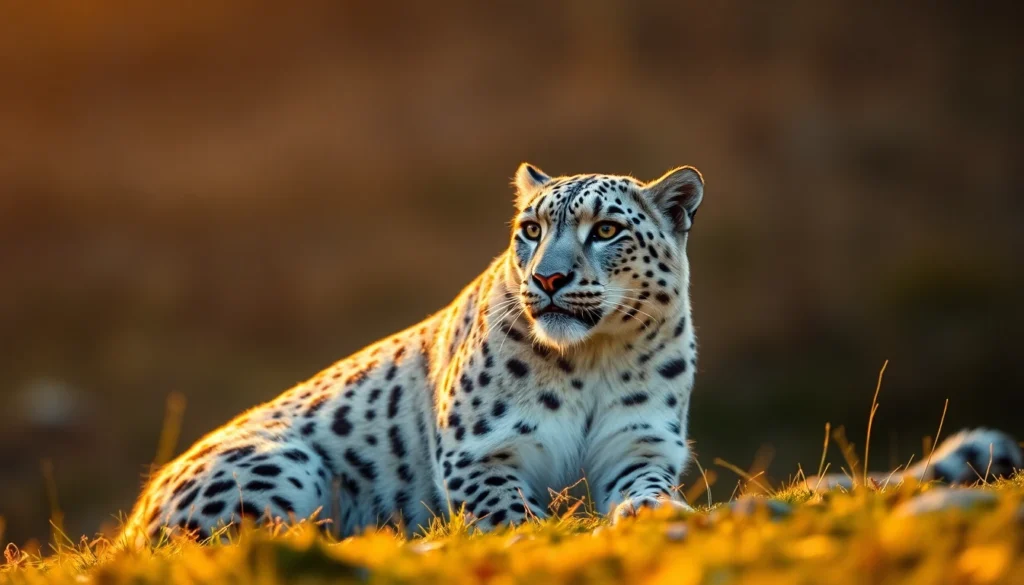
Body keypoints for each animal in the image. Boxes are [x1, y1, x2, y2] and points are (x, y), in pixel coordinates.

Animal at [122, 162, 1022, 545]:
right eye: (530, 229)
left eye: (607, 229)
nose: (549, 277)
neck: (588, 363)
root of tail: (129, 519)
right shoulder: (482, 454)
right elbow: (507, 508)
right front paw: (533, 531)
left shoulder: (638, 446)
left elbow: (647, 492)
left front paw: (655, 517)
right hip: (277, 464)